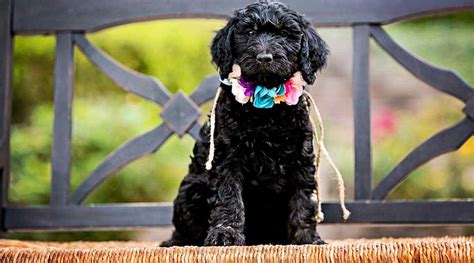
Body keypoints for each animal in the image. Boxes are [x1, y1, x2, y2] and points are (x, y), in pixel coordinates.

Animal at [161, 0, 328, 248]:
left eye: (284, 34)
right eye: (249, 32)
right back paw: (178, 242)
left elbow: (304, 199)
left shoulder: (301, 158)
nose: (264, 57)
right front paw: (225, 235)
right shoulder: (227, 158)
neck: (266, 109)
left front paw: (307, 239)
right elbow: (229, 198)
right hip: (191, 188)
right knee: (184, 230)